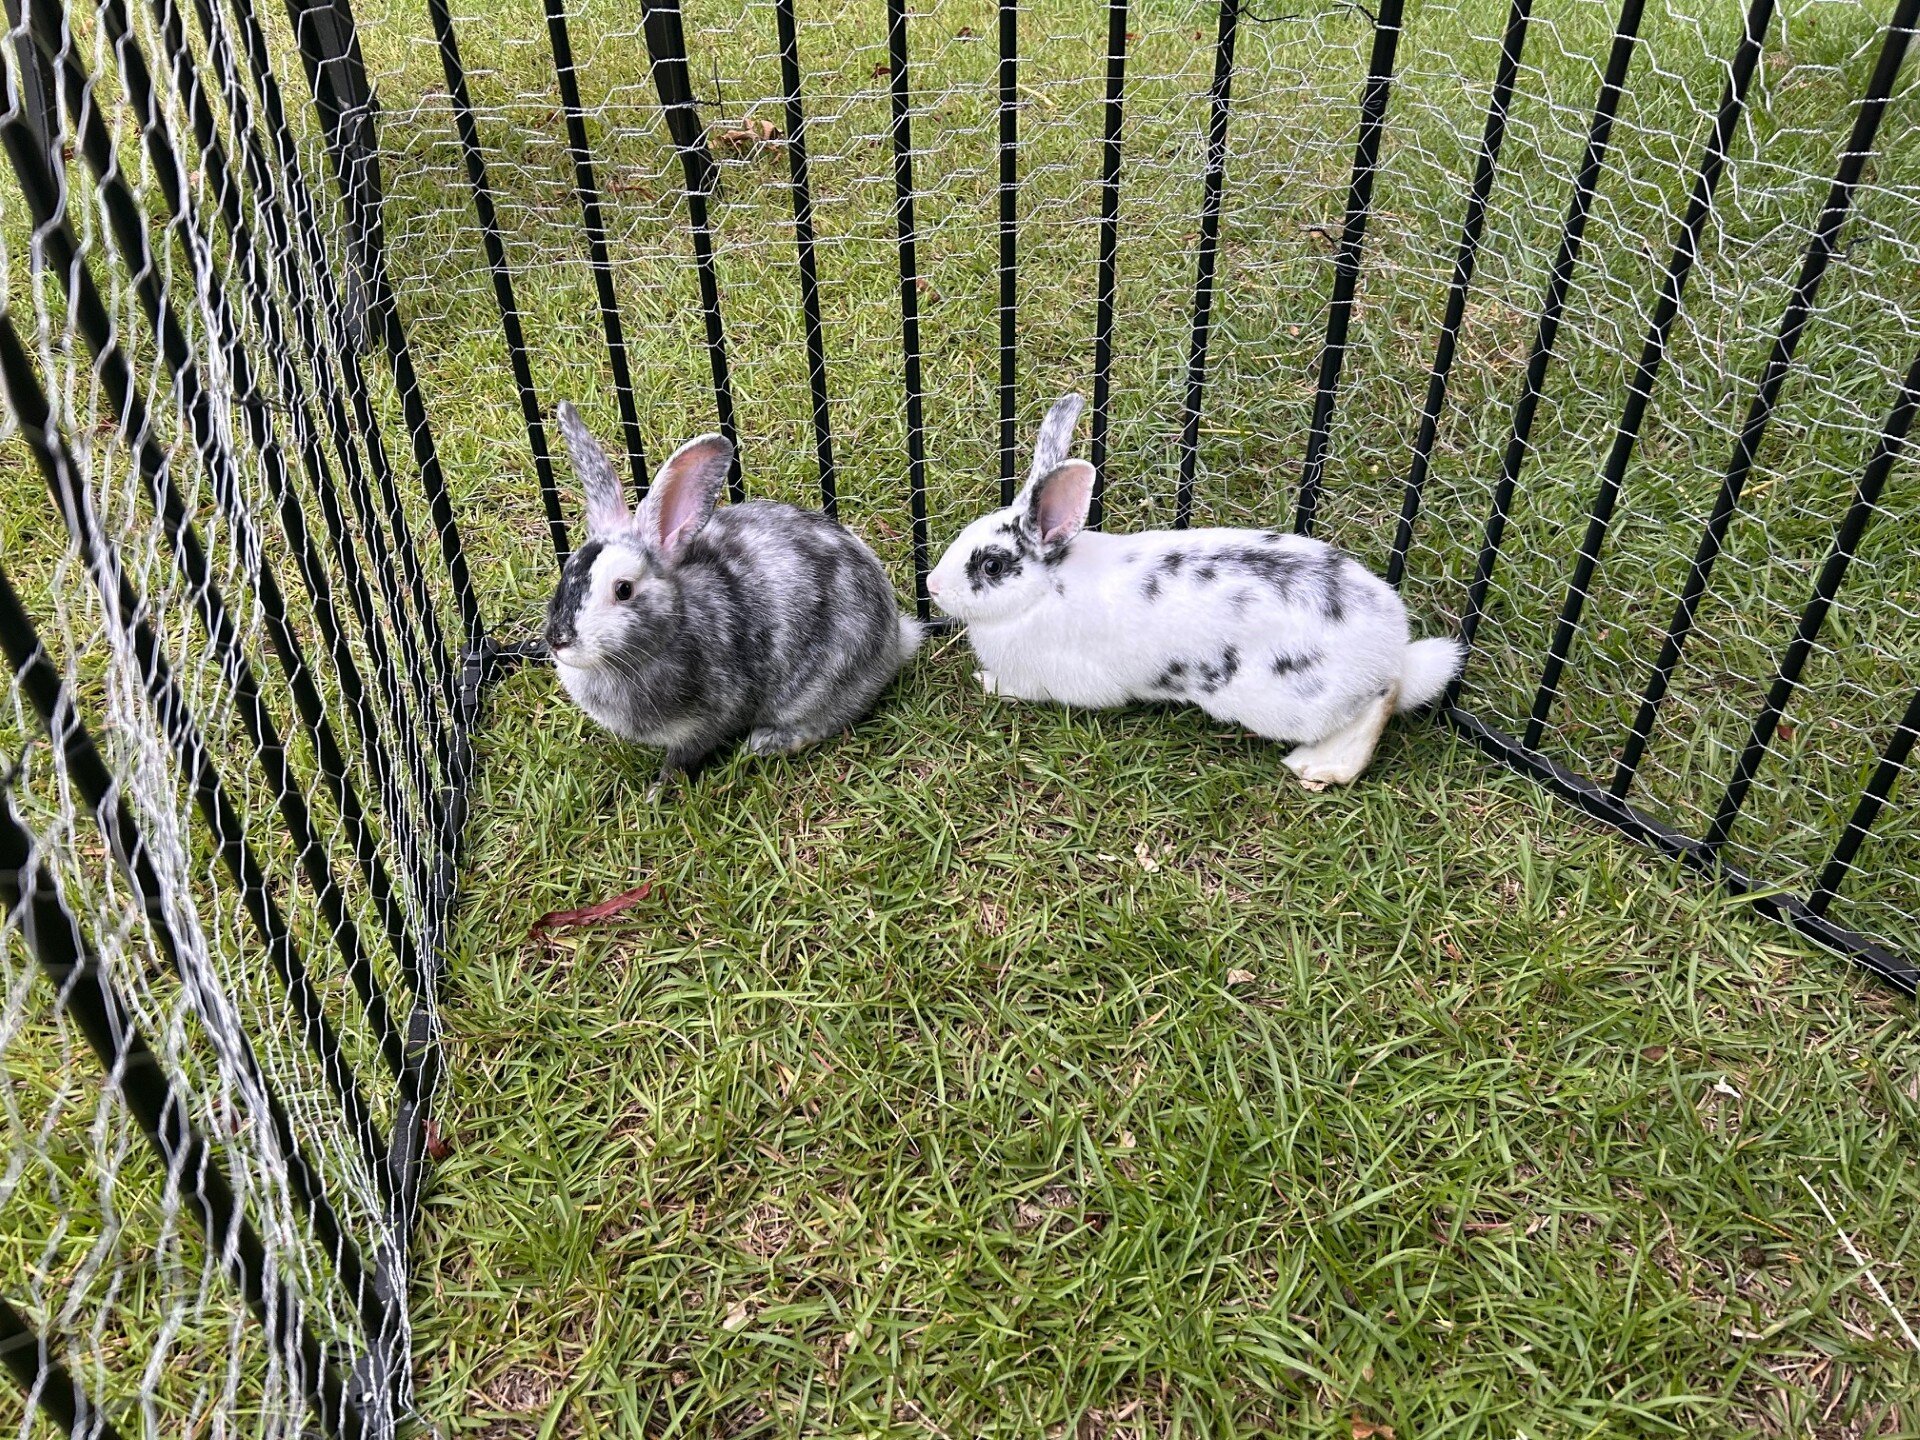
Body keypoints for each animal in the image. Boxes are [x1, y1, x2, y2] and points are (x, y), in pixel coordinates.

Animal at [544, 403, 922, 782]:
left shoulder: (706, 722)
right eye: (568, 570)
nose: (558, 641)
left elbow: (682, 759)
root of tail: (896, 636)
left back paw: (765, 743)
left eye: (623, 589)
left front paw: (660, 788)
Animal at [925, 393, 1463, 788]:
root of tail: (1392, 646)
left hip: (1294, 703)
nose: (932, 585)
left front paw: (987, 682)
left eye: (992, 565)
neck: (1042, 591)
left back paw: (1318, 767)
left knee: (1381, 701)